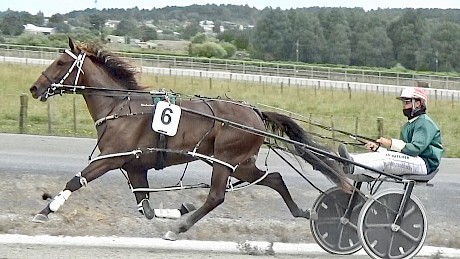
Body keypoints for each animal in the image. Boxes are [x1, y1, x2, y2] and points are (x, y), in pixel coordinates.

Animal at [28, 37, 350, 242]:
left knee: (217, 196)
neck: (121, 106)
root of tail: (255, 111)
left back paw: (180, 228)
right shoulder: (135, 167)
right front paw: (177, 209)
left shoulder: (110, 159)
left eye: (60, 62)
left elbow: (75, 180)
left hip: (225, 161)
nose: (34, 88)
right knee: (274, 178)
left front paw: (44, 212)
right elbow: (146, 209)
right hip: (241, 163)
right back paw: (301, 211)